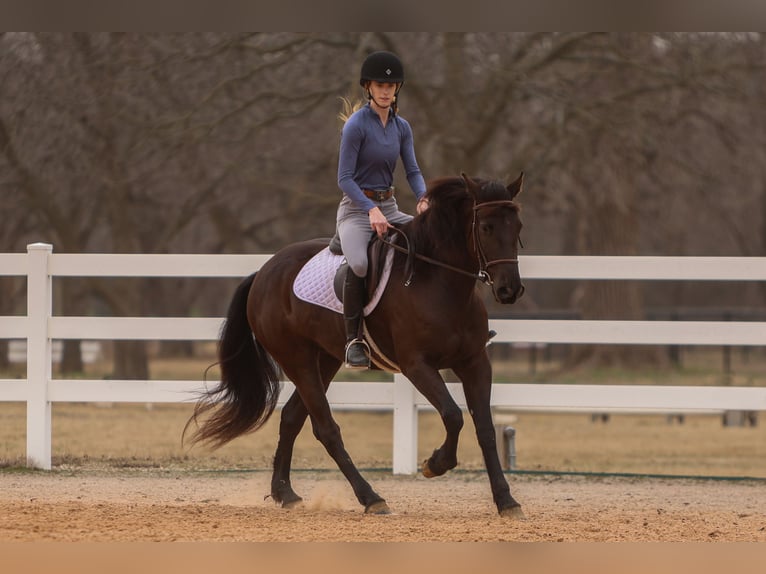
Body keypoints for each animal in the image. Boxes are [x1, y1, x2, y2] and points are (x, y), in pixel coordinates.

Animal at [184, 171, 528, 516]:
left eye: (518, 227)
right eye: (486, 227)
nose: (509, 290)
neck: (439, 281)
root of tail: (264, 272)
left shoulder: (474, 362)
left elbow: (484, 428)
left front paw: (506, 501)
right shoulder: (417, 365)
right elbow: (453, 415)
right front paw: (435, 464)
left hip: (325, 360)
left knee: (292, 418)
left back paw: (285, 493)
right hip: (298, 360)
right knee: (326, 429)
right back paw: (371, 497)